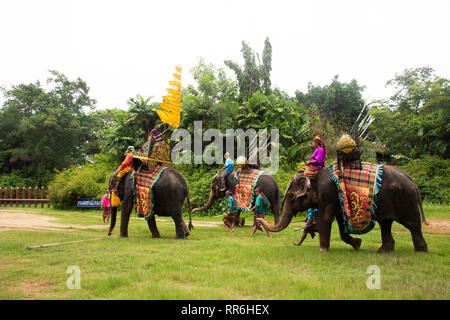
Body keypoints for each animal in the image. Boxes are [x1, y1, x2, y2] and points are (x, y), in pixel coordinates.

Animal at [258, 165, 428, 252]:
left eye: (291, 197)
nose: (259, 220)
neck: (314, 178)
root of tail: (411, 179)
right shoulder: (337, 199)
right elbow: (340, 224)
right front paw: (357, 244)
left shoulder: (327, 194)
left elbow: (326, 218)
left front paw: (322, 250)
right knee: (385, 224)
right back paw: (383, 250)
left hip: (406, 200)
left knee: (413, 225)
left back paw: (421, 250)